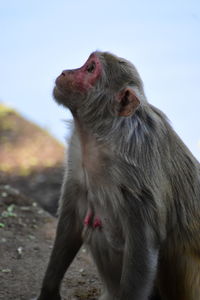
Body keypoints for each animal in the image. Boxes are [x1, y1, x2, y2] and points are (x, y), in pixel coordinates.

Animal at [34, 51, 200, 300]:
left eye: (90, 68)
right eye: (87, 63)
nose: (65, 72)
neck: (101, 134)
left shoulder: (137, 169)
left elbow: (143, 247)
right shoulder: (76, 157)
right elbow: (71, 223)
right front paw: (48, 292)